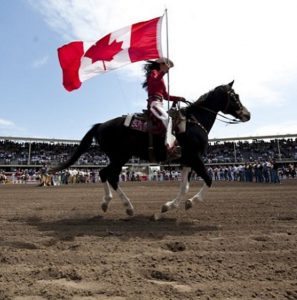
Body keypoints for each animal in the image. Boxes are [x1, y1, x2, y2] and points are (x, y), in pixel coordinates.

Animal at [51, 79, 250, 216]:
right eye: (235, 96)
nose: (247, 114)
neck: (194, 122)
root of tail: (101, 125)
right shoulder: (195, 158)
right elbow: (208, 179)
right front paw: (190, 202)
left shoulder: (187, 160)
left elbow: (184, 187)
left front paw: (169, 206)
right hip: (120, 156)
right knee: (108, 175)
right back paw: (126, 206)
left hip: (118, 157)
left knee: (106, 174)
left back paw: (111, 203)